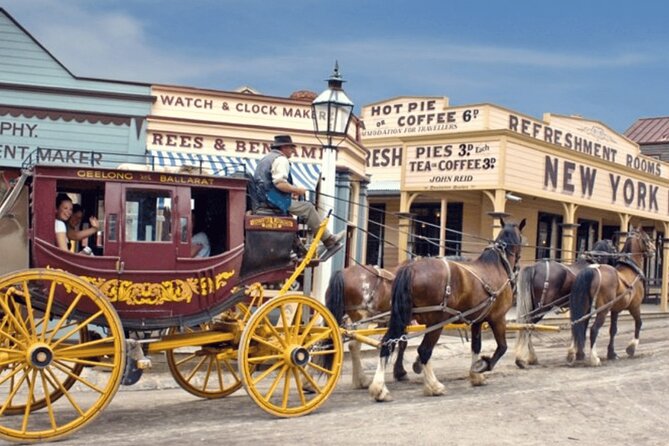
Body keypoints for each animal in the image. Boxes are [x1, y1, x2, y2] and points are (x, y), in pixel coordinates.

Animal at [368, 219, 524, 400]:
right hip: (436, 322)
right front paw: (483, 366)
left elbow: (476, 346)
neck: (496, 266)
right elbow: (502, 347)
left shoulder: (477, 321)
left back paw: (380, 389)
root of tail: (411, 267)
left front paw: (476, 376)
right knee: (424, 350)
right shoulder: (498, 318)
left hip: (403, 316)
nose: (518, 266)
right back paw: (434, 386)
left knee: (388, 342)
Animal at [516, 239, 620, 368]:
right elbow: (582, 325)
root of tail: (534, 267)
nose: (618, 261)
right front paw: (579, 353)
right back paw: (524, 358)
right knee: (528, 325)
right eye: (614, 248)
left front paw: (575, 353)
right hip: (542, 308)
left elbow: (576, 324)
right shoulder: (586, 308)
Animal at [568, 228, 656, 368]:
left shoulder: (615, 310)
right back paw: (594, 358)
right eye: (647, 238)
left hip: (585, 306)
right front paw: (631, 348)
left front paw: (611, 353)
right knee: (594, 329)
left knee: (578, 324)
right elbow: (639, 323)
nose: (654, 249)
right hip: (603, 310)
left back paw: (575, 354)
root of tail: (593, 269)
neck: (631, 269)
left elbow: (613, 330)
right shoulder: (635, 306)